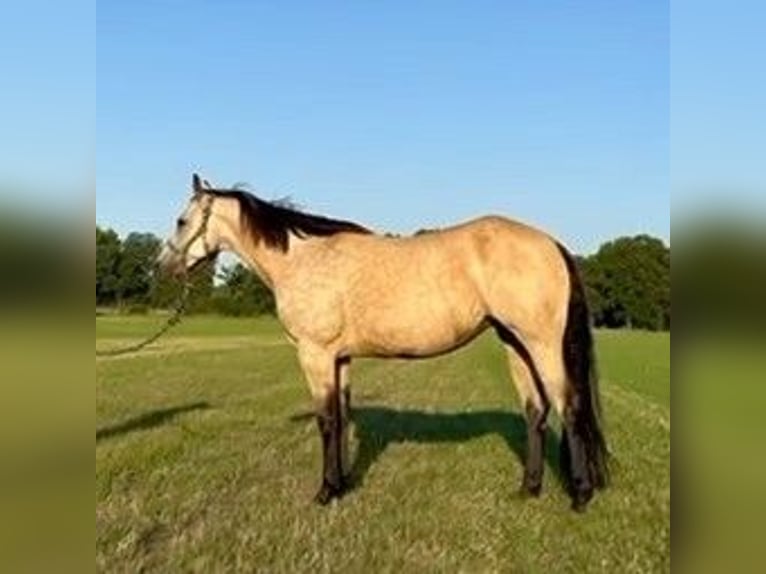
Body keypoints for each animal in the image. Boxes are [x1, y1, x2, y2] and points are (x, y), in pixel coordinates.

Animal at [157, 174, 608, 511]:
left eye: (181, 220)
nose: (163, 267)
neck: (304, 259)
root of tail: (552, 244)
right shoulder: (339, 359)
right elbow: (341, 418)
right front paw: (341, 485)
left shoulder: (315, 355)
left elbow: (326, 421)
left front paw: (324, 493)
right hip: (516, 345)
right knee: (536, 411)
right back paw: (528, 489)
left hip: (542, 345)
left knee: (570, 408)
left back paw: (581, 495)